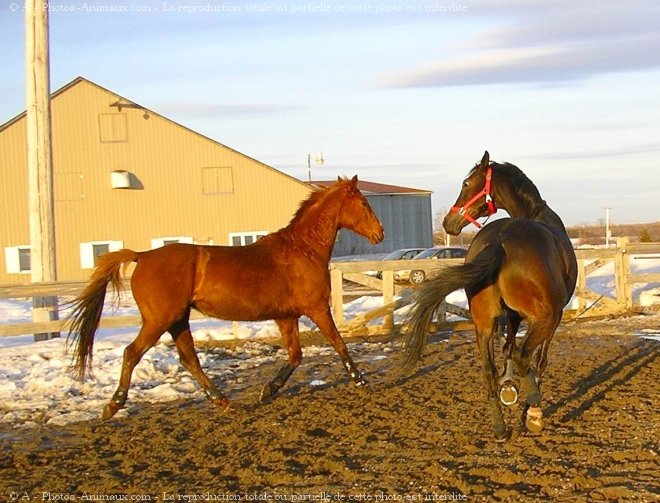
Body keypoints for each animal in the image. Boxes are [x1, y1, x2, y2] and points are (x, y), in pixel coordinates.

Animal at [64, 177, 384, 422]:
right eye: (364, 204)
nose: (380, 233)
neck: (302, 249)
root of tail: (142, 256)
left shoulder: (286, 316)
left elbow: (296, 356)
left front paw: (268, 390)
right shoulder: (316, 308)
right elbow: (339, 343)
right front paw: (361, 380)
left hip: (178, 320)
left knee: (189, 359)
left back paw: (223, 400)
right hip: (159, 320)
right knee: (132, 353)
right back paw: (113, 405)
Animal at [400, 151, 576, 440]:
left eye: (466, 183)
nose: (449, 222)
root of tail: (499, 242)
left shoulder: (511, 316)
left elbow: (507, 349)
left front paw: (510, 388)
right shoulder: (552, 318)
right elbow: (537, 360)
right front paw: (527, 408)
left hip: (483, 322)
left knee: (488, 370)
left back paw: (500, 426)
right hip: (545, 317)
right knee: (524, 358)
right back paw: (533, 410)